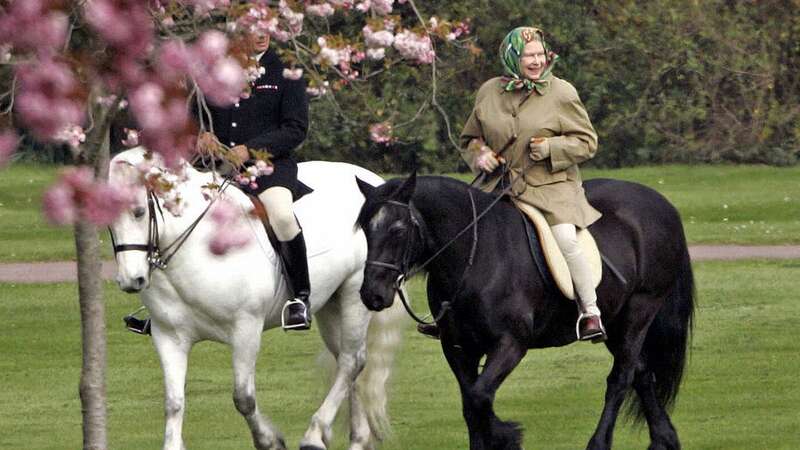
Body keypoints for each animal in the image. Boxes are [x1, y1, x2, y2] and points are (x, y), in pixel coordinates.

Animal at [108, 149, 406, 450]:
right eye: (108, 220)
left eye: (139, 212)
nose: (131, 280)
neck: (195, 248)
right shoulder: (169, 336)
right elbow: (173, 402)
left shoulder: (246, 328)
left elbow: (243, 397)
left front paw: (269, 440)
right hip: (332, 304)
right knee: (347, 362)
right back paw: (356, 438)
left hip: (355, 295)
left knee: (350, 362)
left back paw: (316, 434)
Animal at [356, 175, 692, 450]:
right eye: (366, 231)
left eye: (398, 230)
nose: (372, 294)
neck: (476, 254)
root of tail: (662, 205)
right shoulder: (458, 348)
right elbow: (470, 404)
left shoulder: (510, 345)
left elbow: (479, 397)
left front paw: (508, 437)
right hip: (615, 321)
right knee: (641, 372)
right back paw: (664, 440)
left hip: (639, 311)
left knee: (621, 378)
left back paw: (600, 444)